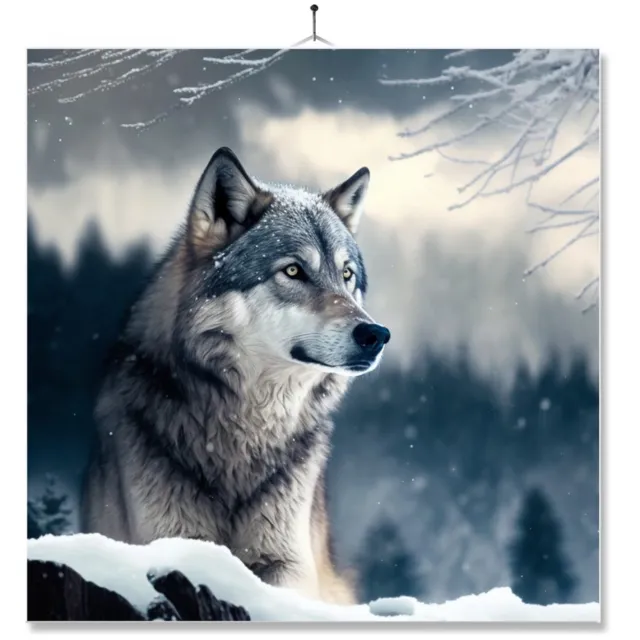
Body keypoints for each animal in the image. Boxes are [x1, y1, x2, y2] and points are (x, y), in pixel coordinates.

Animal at [81, 147, 391, 605]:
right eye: (294, 271)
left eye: (347, 275)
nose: (376, 335)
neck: (244, 433)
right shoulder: (170, 539)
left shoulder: (287, 560)